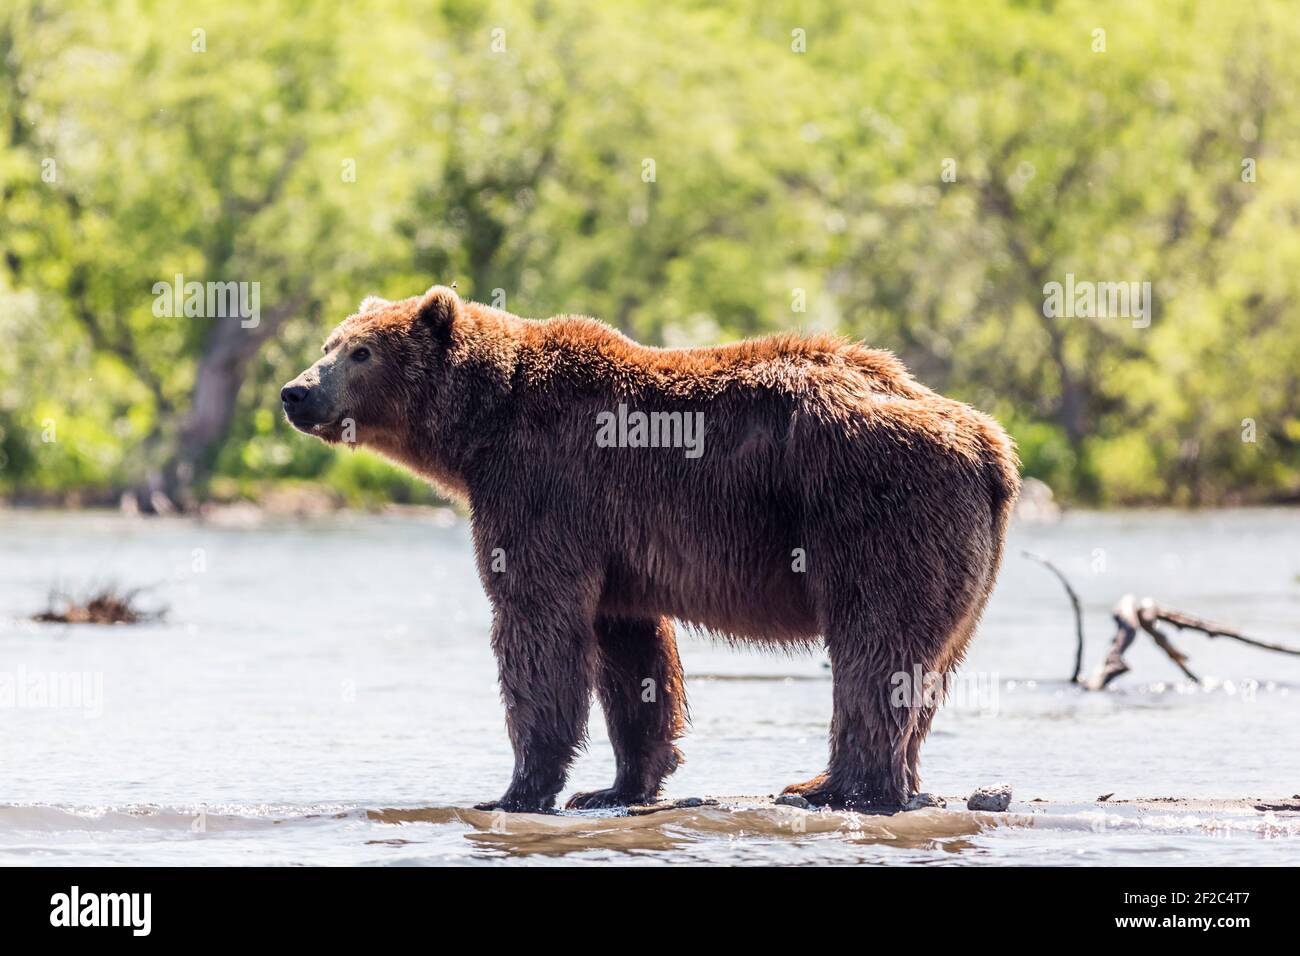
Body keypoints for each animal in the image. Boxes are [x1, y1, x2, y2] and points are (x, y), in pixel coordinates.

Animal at [281, 285, 1020, 812]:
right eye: (330, 342)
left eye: (361, 353)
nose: (295, 391)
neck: (480, 431)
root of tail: (990, 443)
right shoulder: (614, 549)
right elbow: (630, 653)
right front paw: (617, 783)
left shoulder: (544, 491)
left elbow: (536, 625)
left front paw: (518, 787)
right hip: (965, 560)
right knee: (930, 663)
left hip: (875, 511)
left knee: (873, 642)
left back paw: (835, 785)